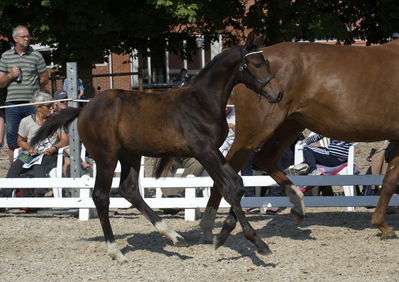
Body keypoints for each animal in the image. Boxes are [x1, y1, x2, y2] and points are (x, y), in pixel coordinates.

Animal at [32, 39, 284, 262]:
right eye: (257, 64)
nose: (278, 94)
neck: (202, 102)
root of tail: (84, 110)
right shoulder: (204, 152)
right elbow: (228, 190)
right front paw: (258, 243)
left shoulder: (214, 152)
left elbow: (239, 185)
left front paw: (221, 236)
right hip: (107, 158)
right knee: (101, 196)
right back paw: (116, 252)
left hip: (131, 155)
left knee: (129, 189)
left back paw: (174, 236)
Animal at [202, 39, 399, 245]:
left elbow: (390, 180)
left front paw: (382, 225)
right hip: (256, 130)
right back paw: (211, 227)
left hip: (289, 125)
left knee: (263, 160)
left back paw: (296, 203)